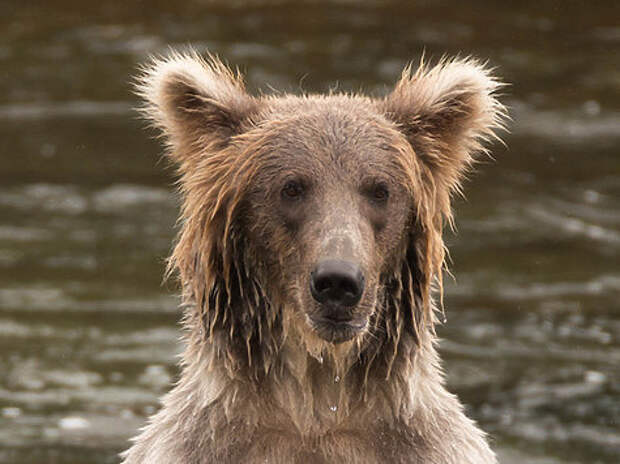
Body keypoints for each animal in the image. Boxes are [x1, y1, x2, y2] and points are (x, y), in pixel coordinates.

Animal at [121, 49, 504, 462]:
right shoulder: (203, 446)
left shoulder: (423, 447)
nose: (338, 282)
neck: (317, 403)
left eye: (379, 190)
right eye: (292, 187)